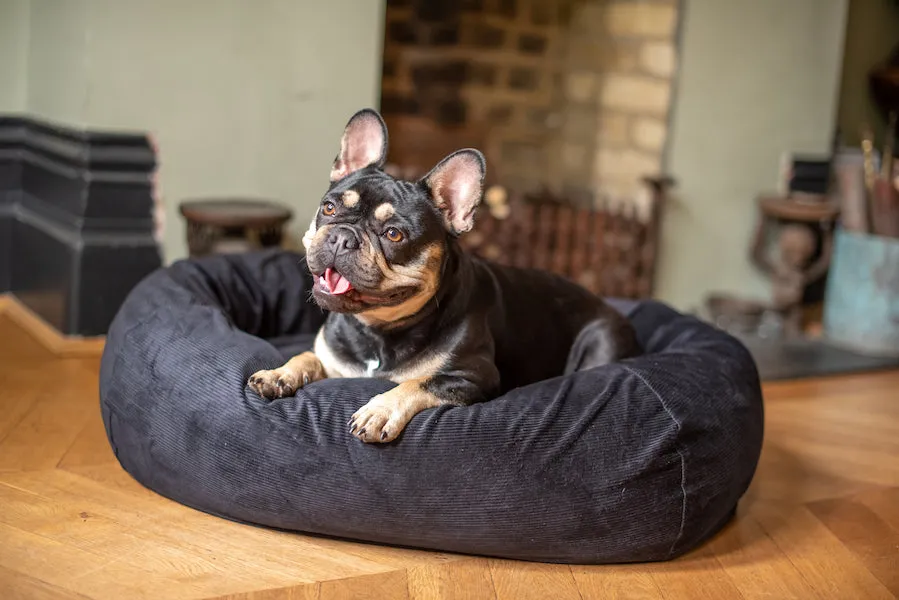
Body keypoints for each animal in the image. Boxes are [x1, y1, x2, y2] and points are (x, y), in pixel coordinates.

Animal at [248, 110, 640, 442]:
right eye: (329, 208)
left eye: (394, 234)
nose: (343, 236)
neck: (376, 332)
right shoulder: (332, 362)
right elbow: (307, 357)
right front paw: (279, 373)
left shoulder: (473, 376)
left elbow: (421, 382)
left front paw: (380, 410)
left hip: (602, 342)